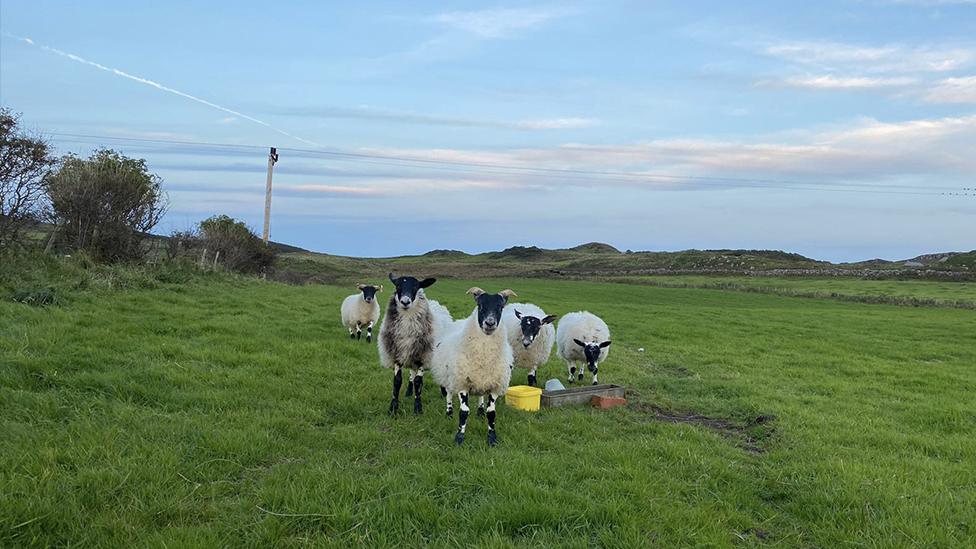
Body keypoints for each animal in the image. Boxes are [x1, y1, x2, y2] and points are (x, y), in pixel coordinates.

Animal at [378, 274, 454, 416]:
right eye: (397, 285)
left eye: (416, 286)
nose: (405, 302)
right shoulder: (398, 355)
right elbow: (397, 382)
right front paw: (393, 408)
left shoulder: (422, 357)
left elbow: (419, 383)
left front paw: (418, 409)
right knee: (411, 376)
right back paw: (409, 392)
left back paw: (443, 392)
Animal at [428, 286, 516, 446]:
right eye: (480, 306)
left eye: (500, 307)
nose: (490, 323)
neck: (484, 354)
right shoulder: (463, 383)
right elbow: (464, 412)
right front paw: (459, 437)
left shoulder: (494, 385)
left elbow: (491, 413)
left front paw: (492, 438)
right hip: (450, 378)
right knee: (449, 395)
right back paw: (449, 413)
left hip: (480, 380)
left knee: (480, 395)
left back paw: (480, 412)